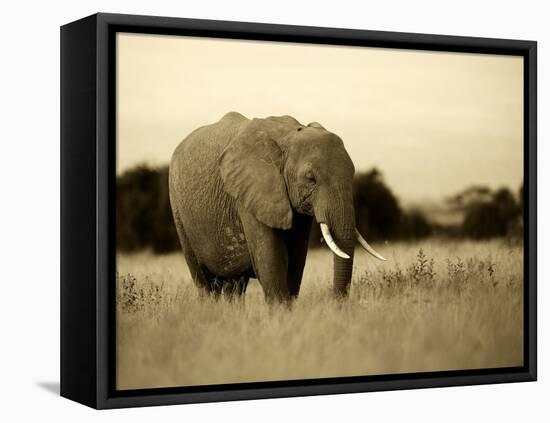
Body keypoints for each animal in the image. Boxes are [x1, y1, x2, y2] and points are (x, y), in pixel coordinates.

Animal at [170, 112, 386, 304]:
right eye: (311, 179)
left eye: (353, 173)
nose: (336, 305)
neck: (288, 136)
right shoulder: (252, 192)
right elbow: (271, 259)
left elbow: (296, 258)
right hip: (178, 209)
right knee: (204, 281)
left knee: (235, 284)